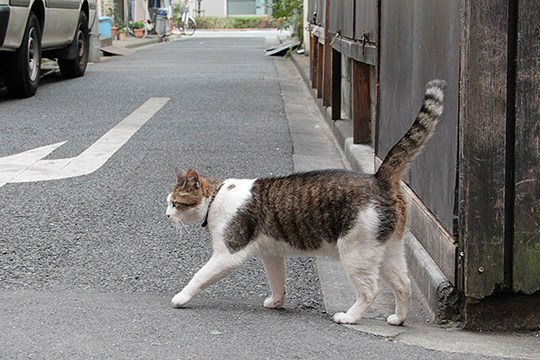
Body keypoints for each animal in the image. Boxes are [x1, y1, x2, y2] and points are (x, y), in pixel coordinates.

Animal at [167, 79, 446, 326]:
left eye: (175, 203)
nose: (167, 215)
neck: (216, 198)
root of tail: (379, 178)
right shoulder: (271, 253)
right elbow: (277, 280)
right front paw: (276, 302)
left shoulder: (228, 254)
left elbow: (199, 276)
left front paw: (181, 297)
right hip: (389, 251)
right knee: (403, 284)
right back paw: (398, 319)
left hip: (356, 251)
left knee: (370, 289)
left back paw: (349, 317)